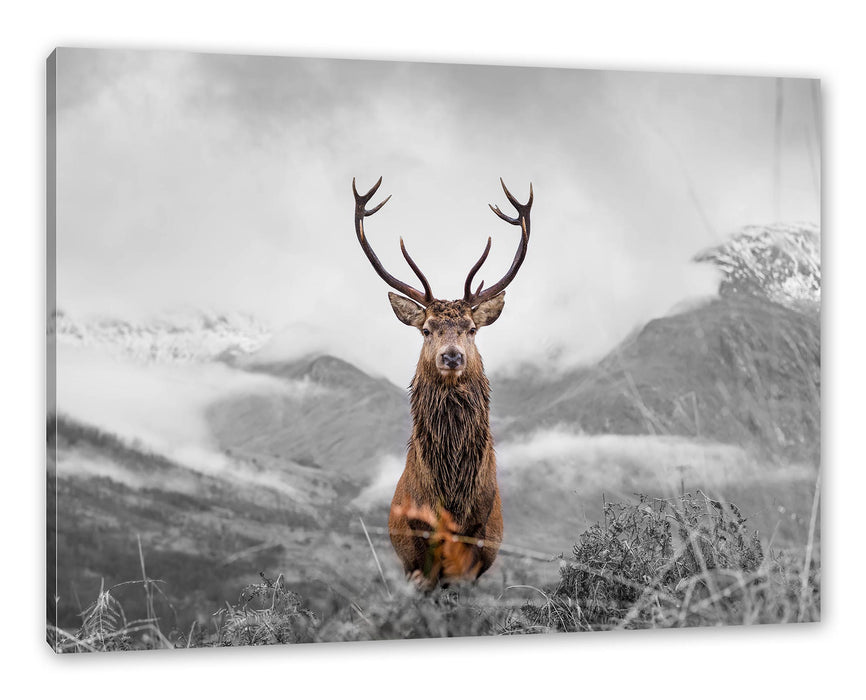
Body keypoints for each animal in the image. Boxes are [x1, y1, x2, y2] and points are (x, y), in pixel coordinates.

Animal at [352, 176, 533, 588]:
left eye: (471, 328)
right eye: (426, 329)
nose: (452, 356)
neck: (451, 497)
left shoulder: (476, 546)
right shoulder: (418, 550)